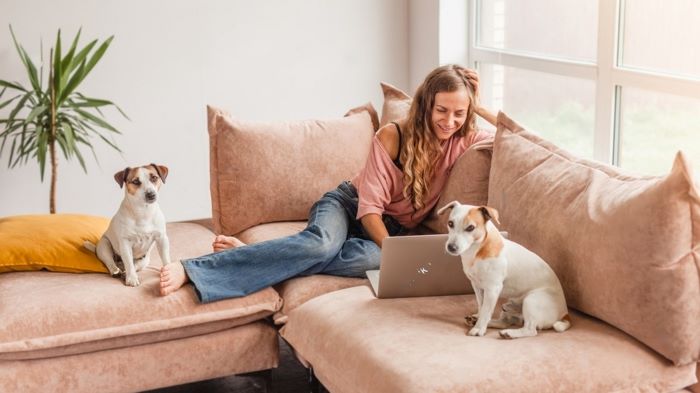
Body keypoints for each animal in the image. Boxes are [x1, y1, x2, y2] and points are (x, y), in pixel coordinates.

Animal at [440, 201, 572, 338]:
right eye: (450, 223)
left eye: (470, 227)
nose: (451, 247)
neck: (476, 252)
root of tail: (565, 313)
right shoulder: (477, 286)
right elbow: (481, 306)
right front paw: (479, 318)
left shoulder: (493, 289)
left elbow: (486, 311)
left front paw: (479, 328)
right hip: (508, 307)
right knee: (506, 321)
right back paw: (481, 321)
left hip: (531, 301)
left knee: (530, 330)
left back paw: (509, 333)